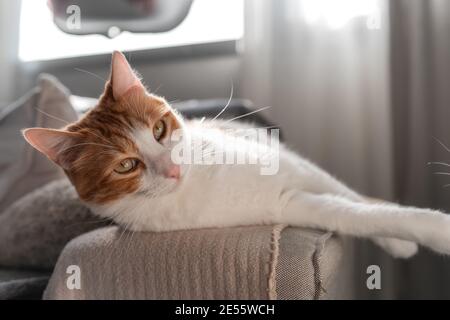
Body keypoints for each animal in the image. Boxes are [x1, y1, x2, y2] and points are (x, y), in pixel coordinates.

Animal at [21, 51, 450, 258]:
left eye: (158, 130)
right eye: (126, 165)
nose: (172, 168)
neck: (204, 180)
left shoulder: (299, 168)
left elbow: (356, 198)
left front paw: (398, 241)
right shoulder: (287, 204)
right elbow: (357, 214)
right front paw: (430, 232)